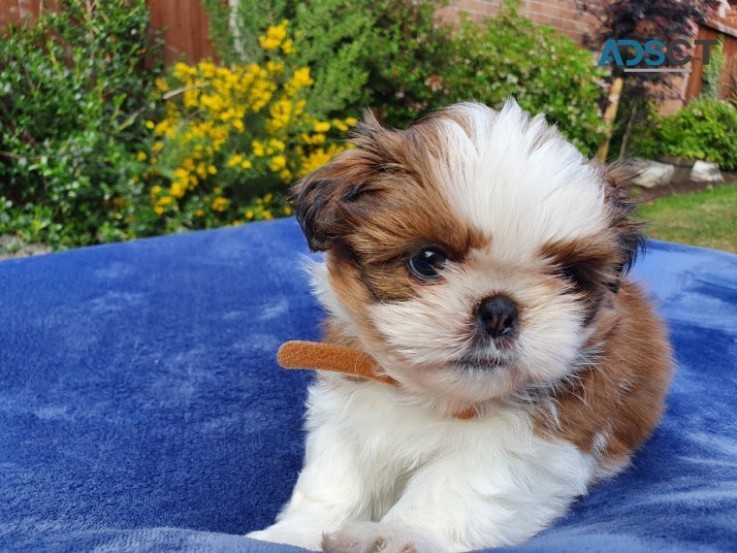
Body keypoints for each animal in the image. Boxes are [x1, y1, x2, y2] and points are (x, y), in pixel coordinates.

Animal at [249, 100, 672, 552]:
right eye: (427, 260)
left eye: (571, 277)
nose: (499, 311)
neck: (429, 395)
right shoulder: (346, 404)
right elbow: (334, 479)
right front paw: (294, 533)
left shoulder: (528, 442)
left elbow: (456, 487)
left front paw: (398, 535)